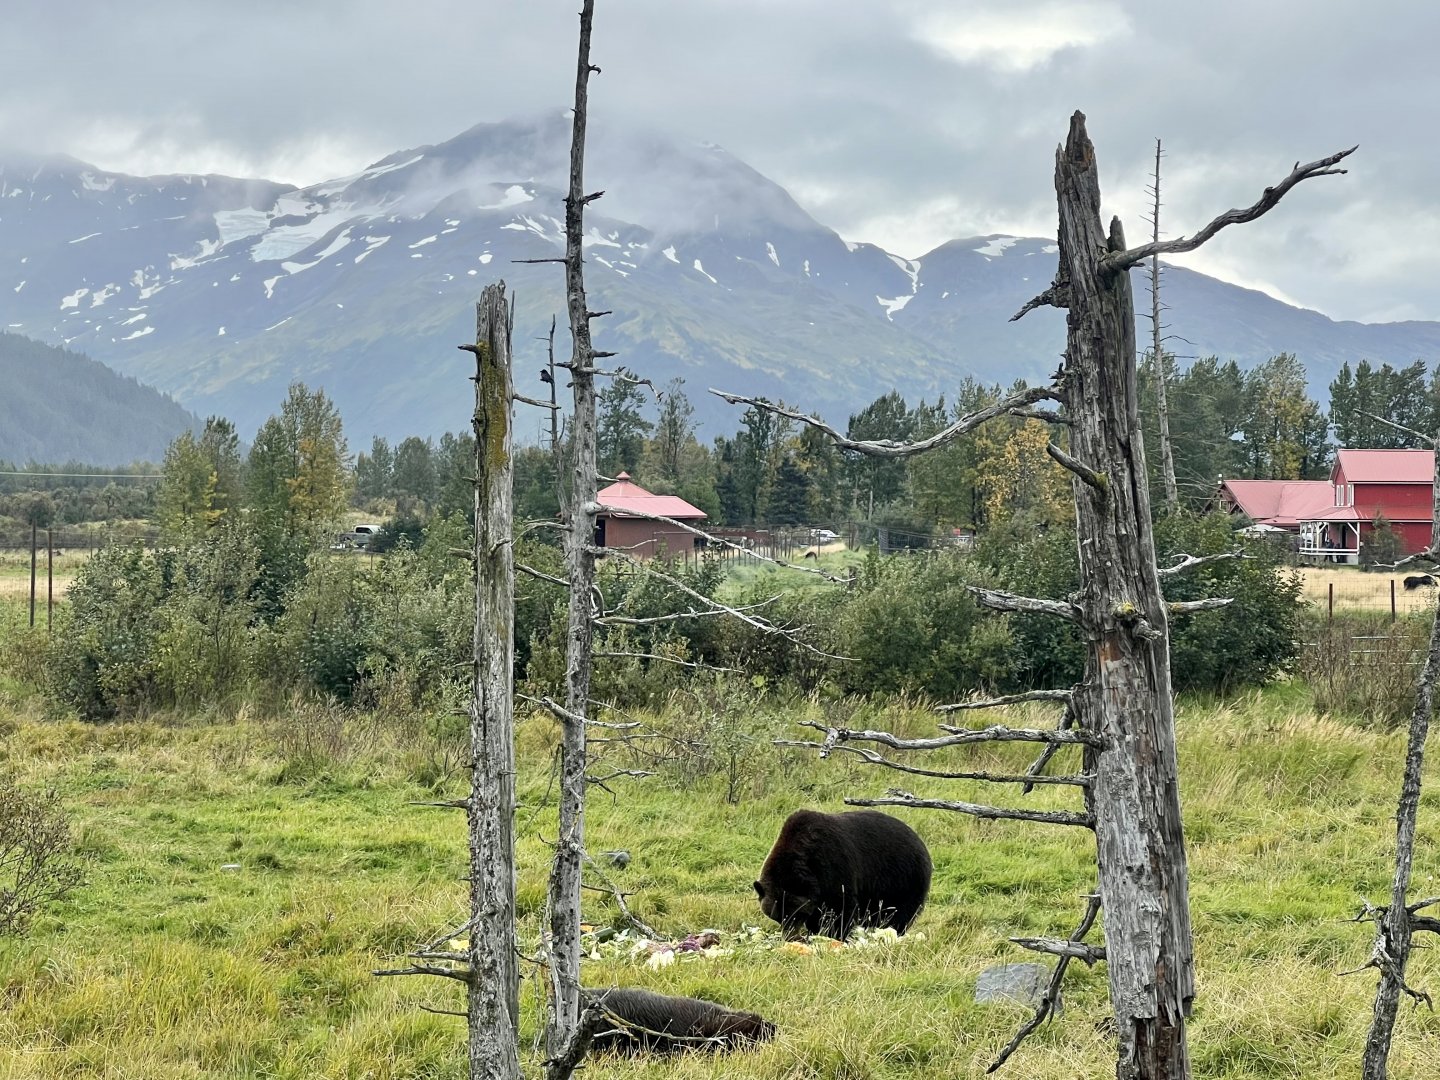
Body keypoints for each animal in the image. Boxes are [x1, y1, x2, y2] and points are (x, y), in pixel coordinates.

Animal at [754, 808, 932, 940]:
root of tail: (920, 841)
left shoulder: (833, 866)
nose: (790, 937)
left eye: (796, 914)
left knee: (900, 913)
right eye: (776, 916)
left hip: (904, 879)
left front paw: (834, 935)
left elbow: (841, 908)